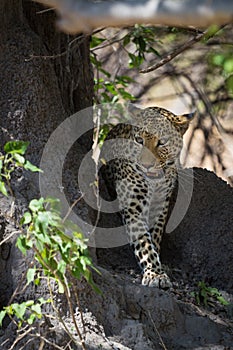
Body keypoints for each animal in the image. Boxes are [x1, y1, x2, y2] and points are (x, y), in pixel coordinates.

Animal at [101, 104, 194, 288]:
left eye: (162, 142)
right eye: (139, 140)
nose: (146, 165)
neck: (155, 183)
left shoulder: (161, 205)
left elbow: (155, 236)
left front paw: (158, 266)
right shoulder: (133, 207)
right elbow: (144, 242)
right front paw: (155, 274)